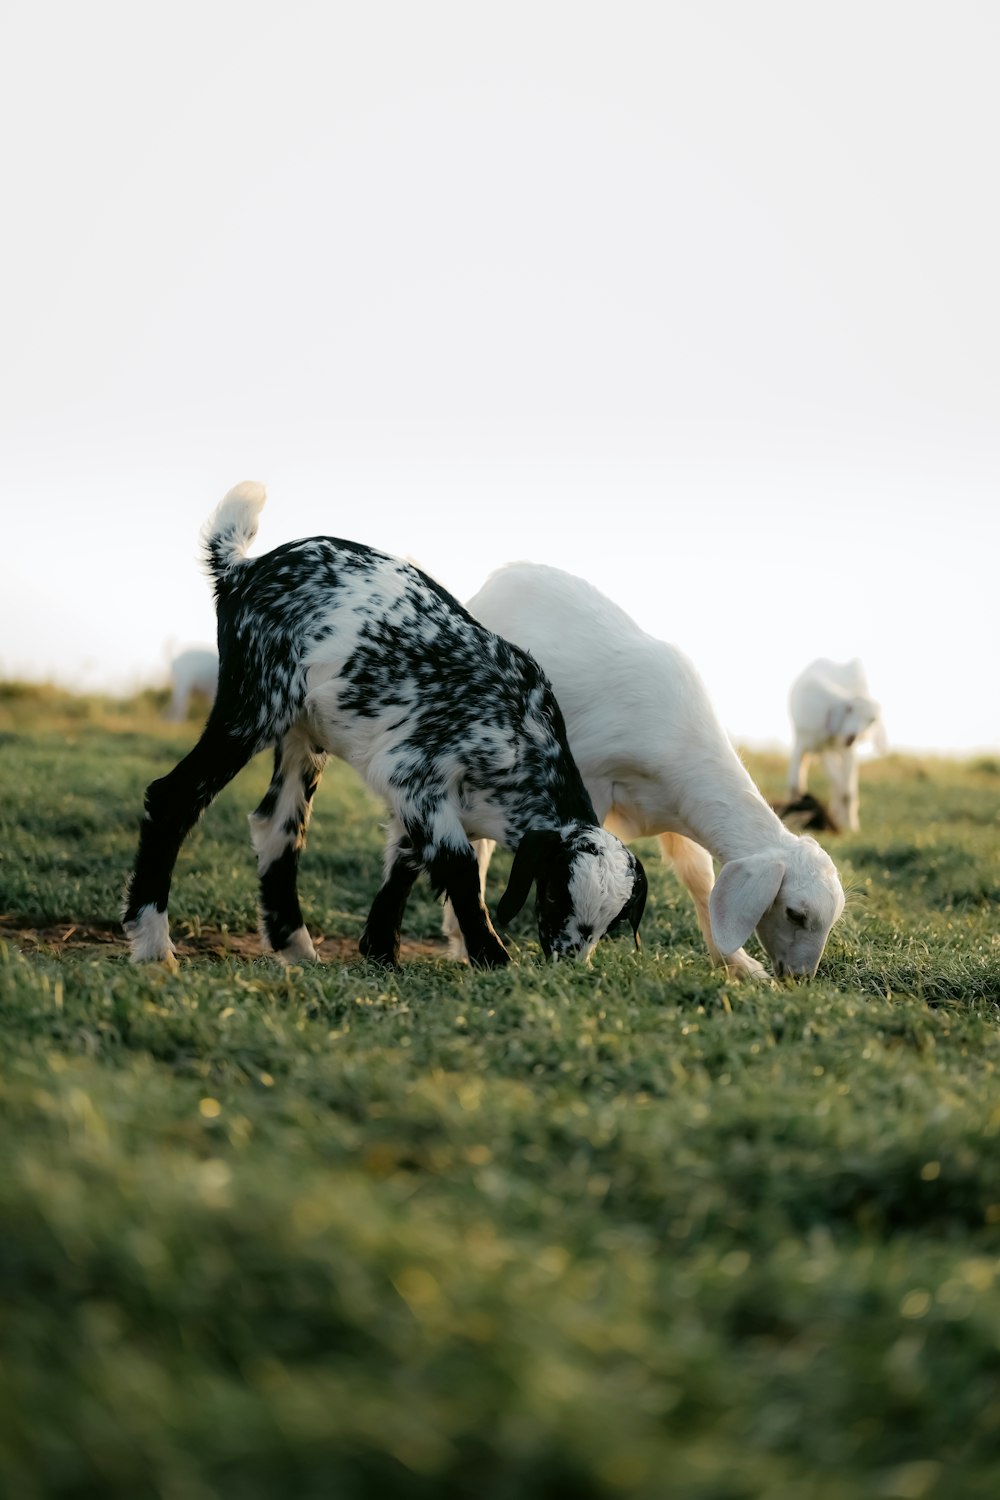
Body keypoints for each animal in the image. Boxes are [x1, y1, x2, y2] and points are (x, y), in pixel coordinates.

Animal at [121, 486, 650, 966]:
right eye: (556, 894)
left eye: (611, 924)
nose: (568, 961)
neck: (525, 740)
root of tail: (243, 568)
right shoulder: (411, 773)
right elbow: (457, 866)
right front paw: (492, 958)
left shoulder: (419, 799)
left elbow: (406, 861)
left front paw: (380, 951)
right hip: (255, 702)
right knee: (175, 798)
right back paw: (153, 945)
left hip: (303, 734)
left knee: (278, 827)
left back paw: (296, 947)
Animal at [446, 564, 845, 984]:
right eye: (795, 913)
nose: (801, 978)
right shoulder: (591, 782)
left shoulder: (677, 810)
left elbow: (700, 879)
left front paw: (737, 965)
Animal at [791, 657, 881, 834]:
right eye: (849, 709)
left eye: (872, 720)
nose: (853, 736)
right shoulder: (814, 745)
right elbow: (798, 784)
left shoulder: (844, 749)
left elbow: (847, 792)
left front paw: (851, 826)